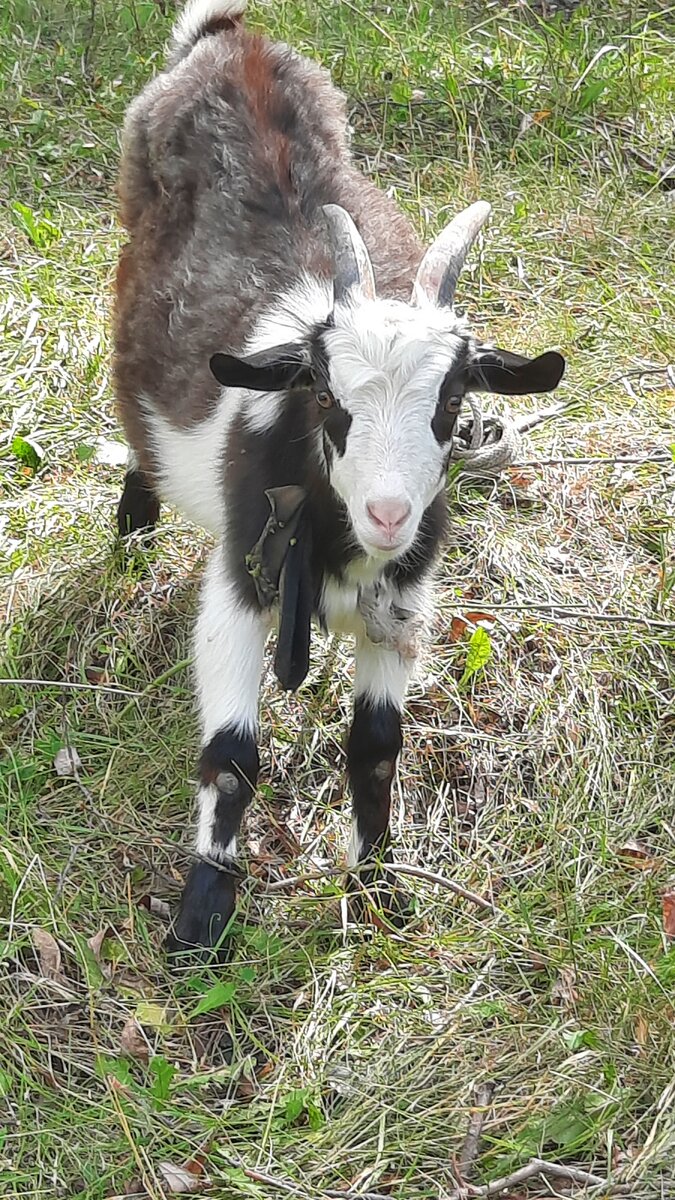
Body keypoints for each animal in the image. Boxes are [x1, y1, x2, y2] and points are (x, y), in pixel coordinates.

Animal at [114, 0, 562, 955]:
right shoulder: (244, 580)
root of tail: (231, 39)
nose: (389, 512)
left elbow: (376, 748)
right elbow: (232, 755)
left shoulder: (401, 604)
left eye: (454, 398)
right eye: (324, 393)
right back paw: (134, 519)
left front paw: (378, 885)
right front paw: (202, 914)